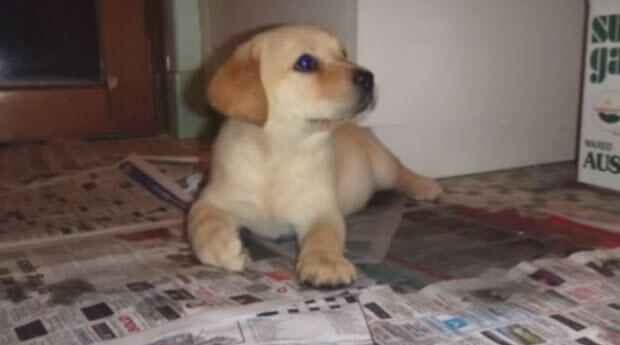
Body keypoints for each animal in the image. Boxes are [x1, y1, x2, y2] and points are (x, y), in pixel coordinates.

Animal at [189, 25, 440, 286]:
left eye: (343, 53)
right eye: (305, 62)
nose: (368, 77)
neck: (279, 152)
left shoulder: (321, 209)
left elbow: (323, 235)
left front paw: (325, 263)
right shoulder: (210, 198)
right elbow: (204, 224)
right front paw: (223, 248)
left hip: (381, 166)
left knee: (400, 169)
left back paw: (425, 185)